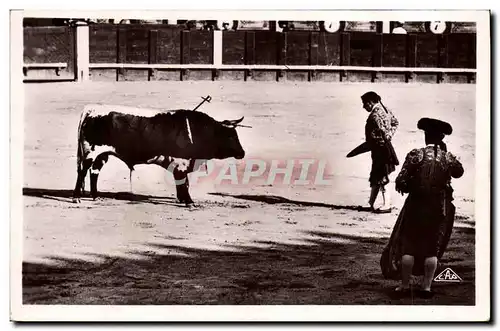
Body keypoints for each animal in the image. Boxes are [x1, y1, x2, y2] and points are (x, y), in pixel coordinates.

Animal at [73, 105, 246, 205]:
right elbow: (183, 182)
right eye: (230, 136)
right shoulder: (182, 162)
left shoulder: (181, 163)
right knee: (82, 172)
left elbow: (182, 182)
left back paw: (95, 196)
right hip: (90, 153)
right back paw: (76, 197)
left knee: (94, 172)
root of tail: (91, 110)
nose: (242, 153)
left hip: (101, 155)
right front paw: (188, 201)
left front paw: (183, 199)